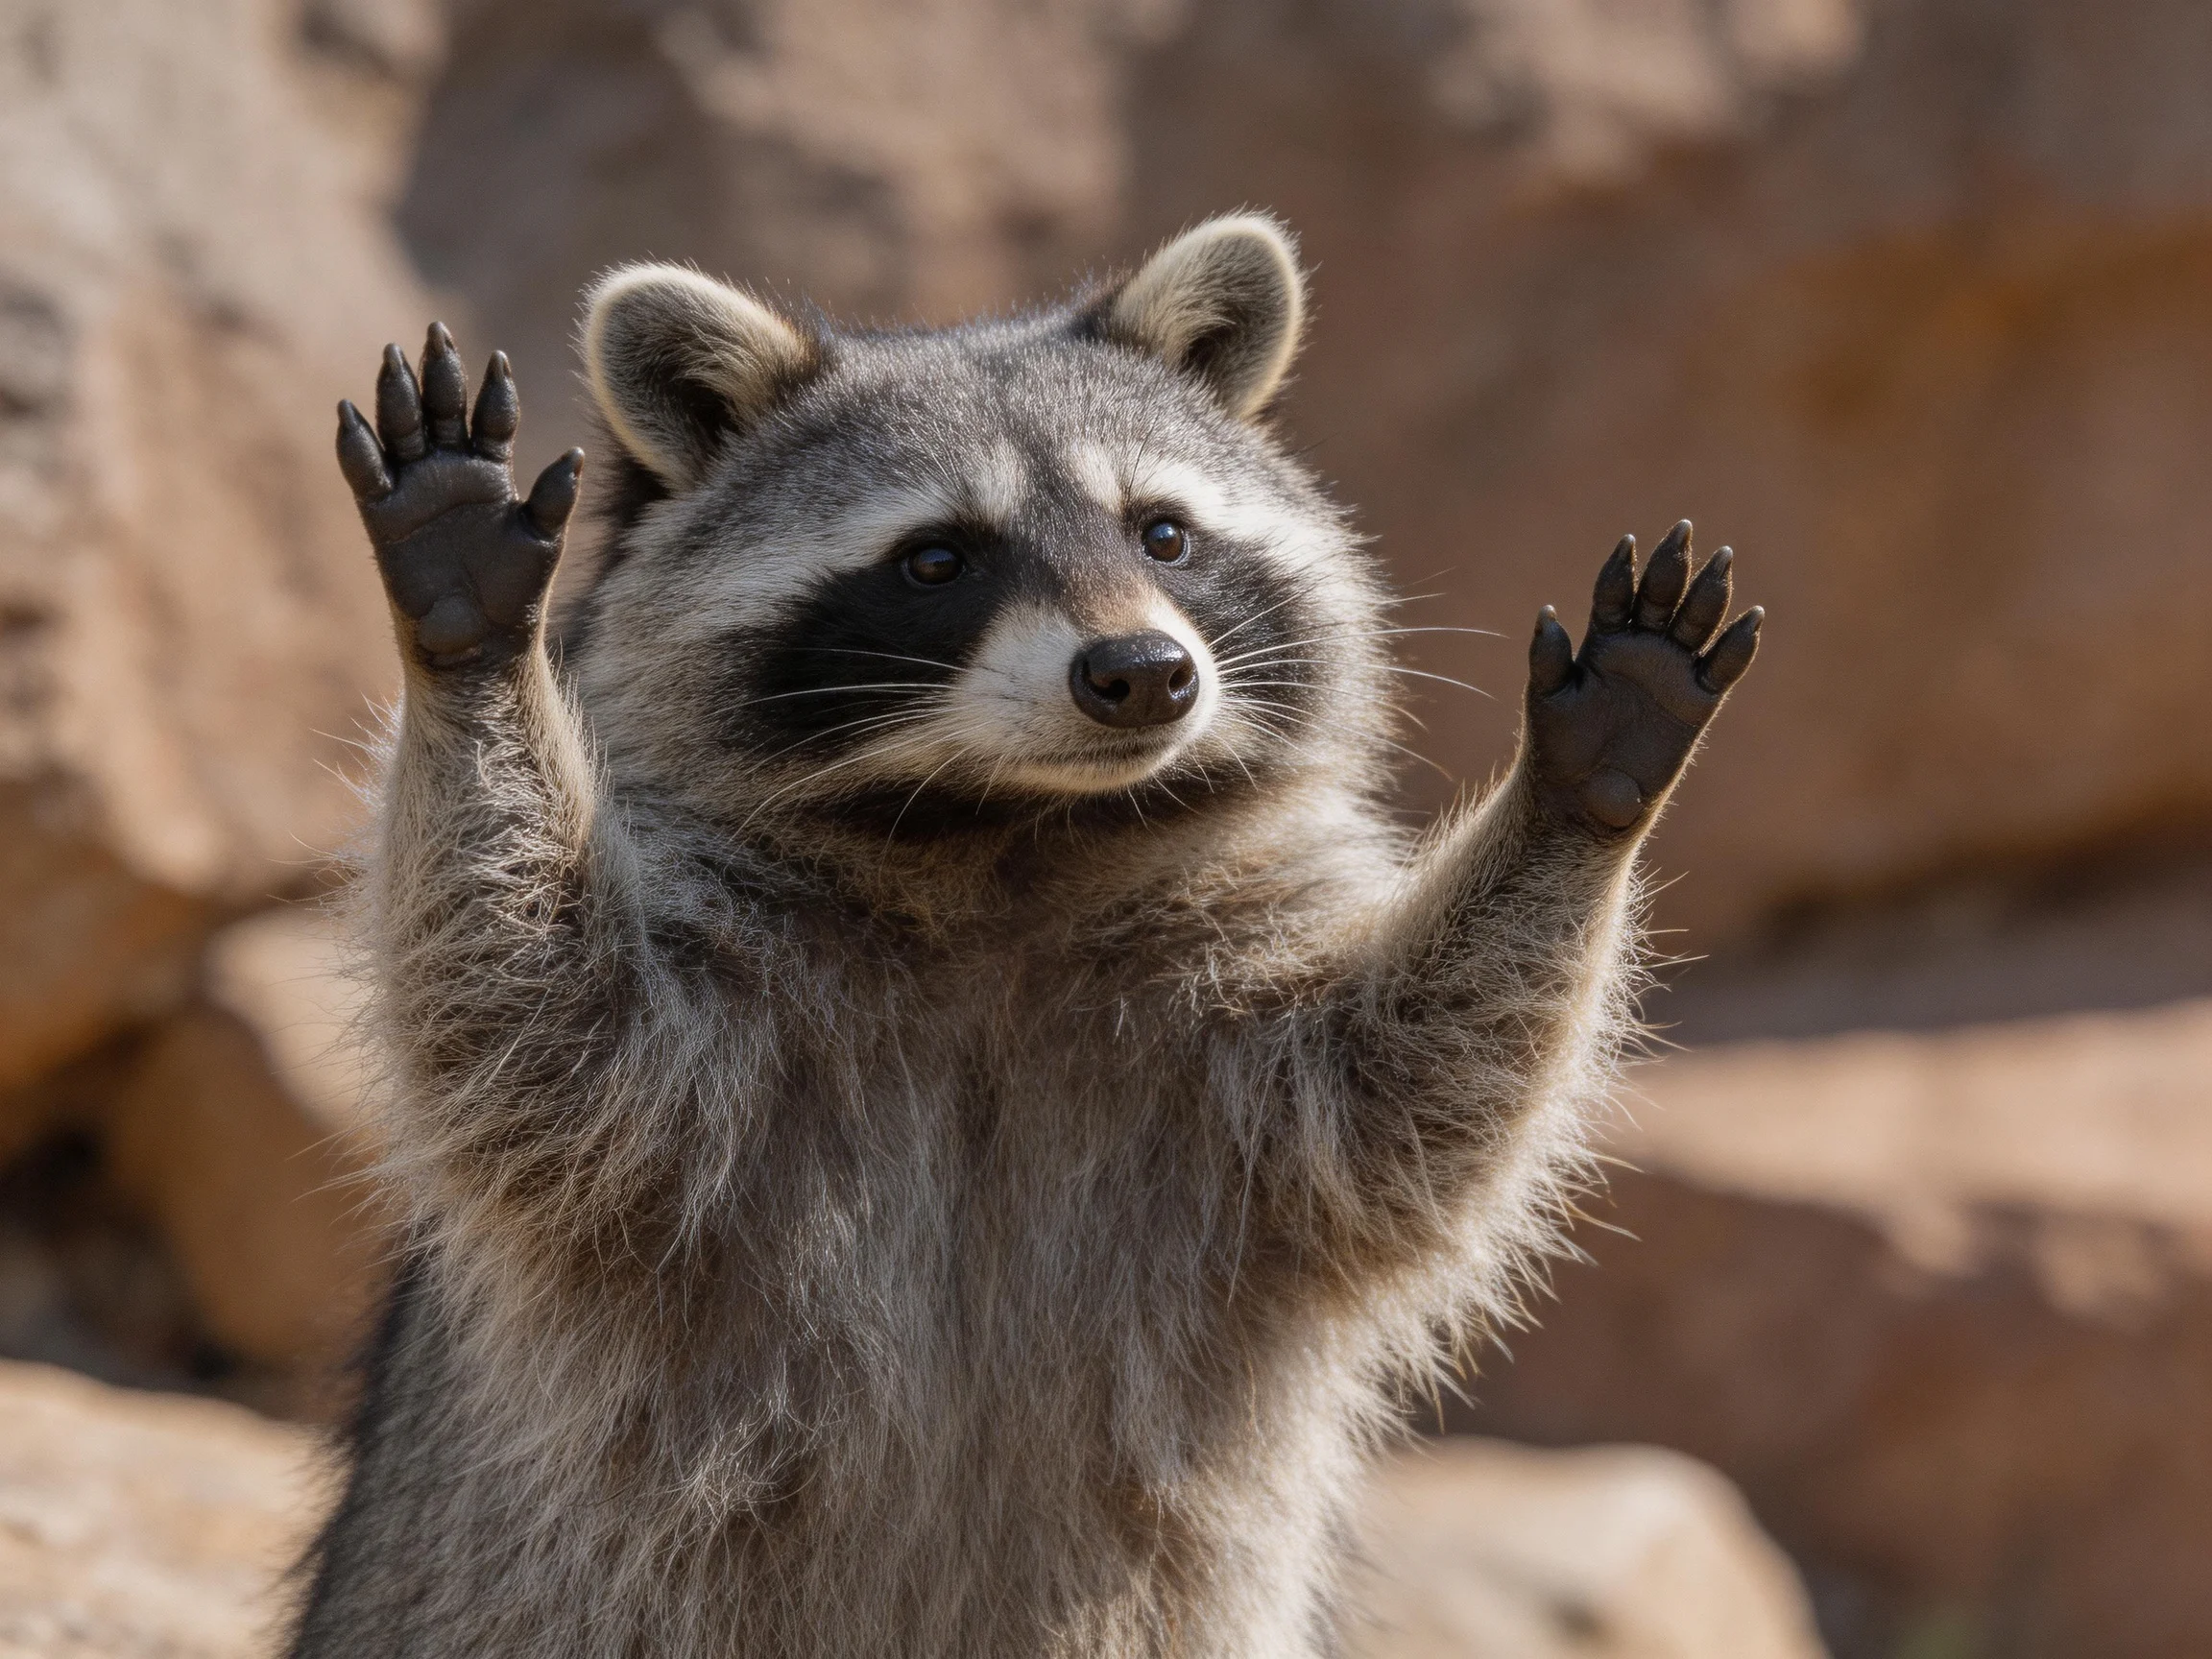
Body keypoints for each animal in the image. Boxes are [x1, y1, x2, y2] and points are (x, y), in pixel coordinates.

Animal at [297, 213, 1759, 1658]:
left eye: (1163, 534)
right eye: (939, 559)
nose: (1145, 675)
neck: (1009, 836)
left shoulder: (1240, 1038)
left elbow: (1414, 1098)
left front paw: (1577, 797)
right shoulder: (692, 1059)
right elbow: (530, 1018)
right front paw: (474, 642)